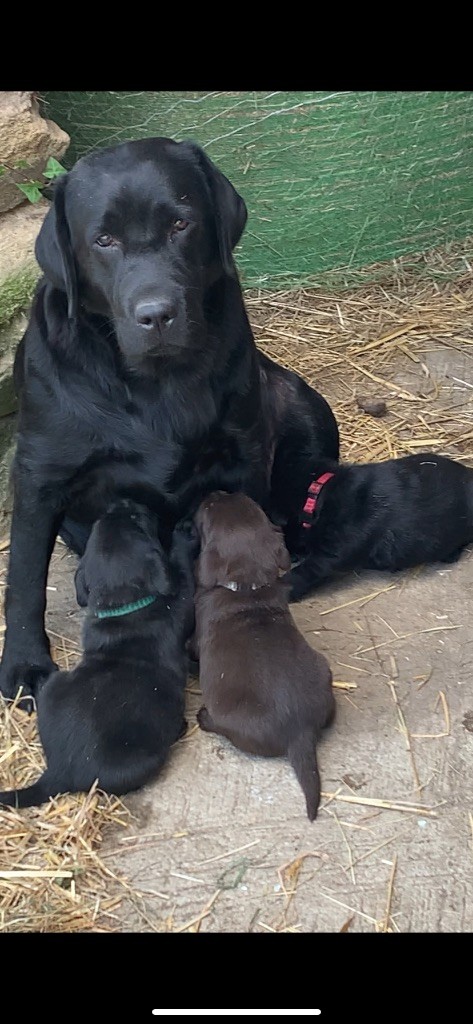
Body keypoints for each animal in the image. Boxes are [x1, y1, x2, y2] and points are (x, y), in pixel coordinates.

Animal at [0, 501, 195, 806]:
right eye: (137, 519)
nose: (123, 502)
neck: (122, 604)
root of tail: (58, 772)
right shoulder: (180, 605)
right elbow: (183, 573)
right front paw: (184, 536)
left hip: (52, 684)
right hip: (144, 761)